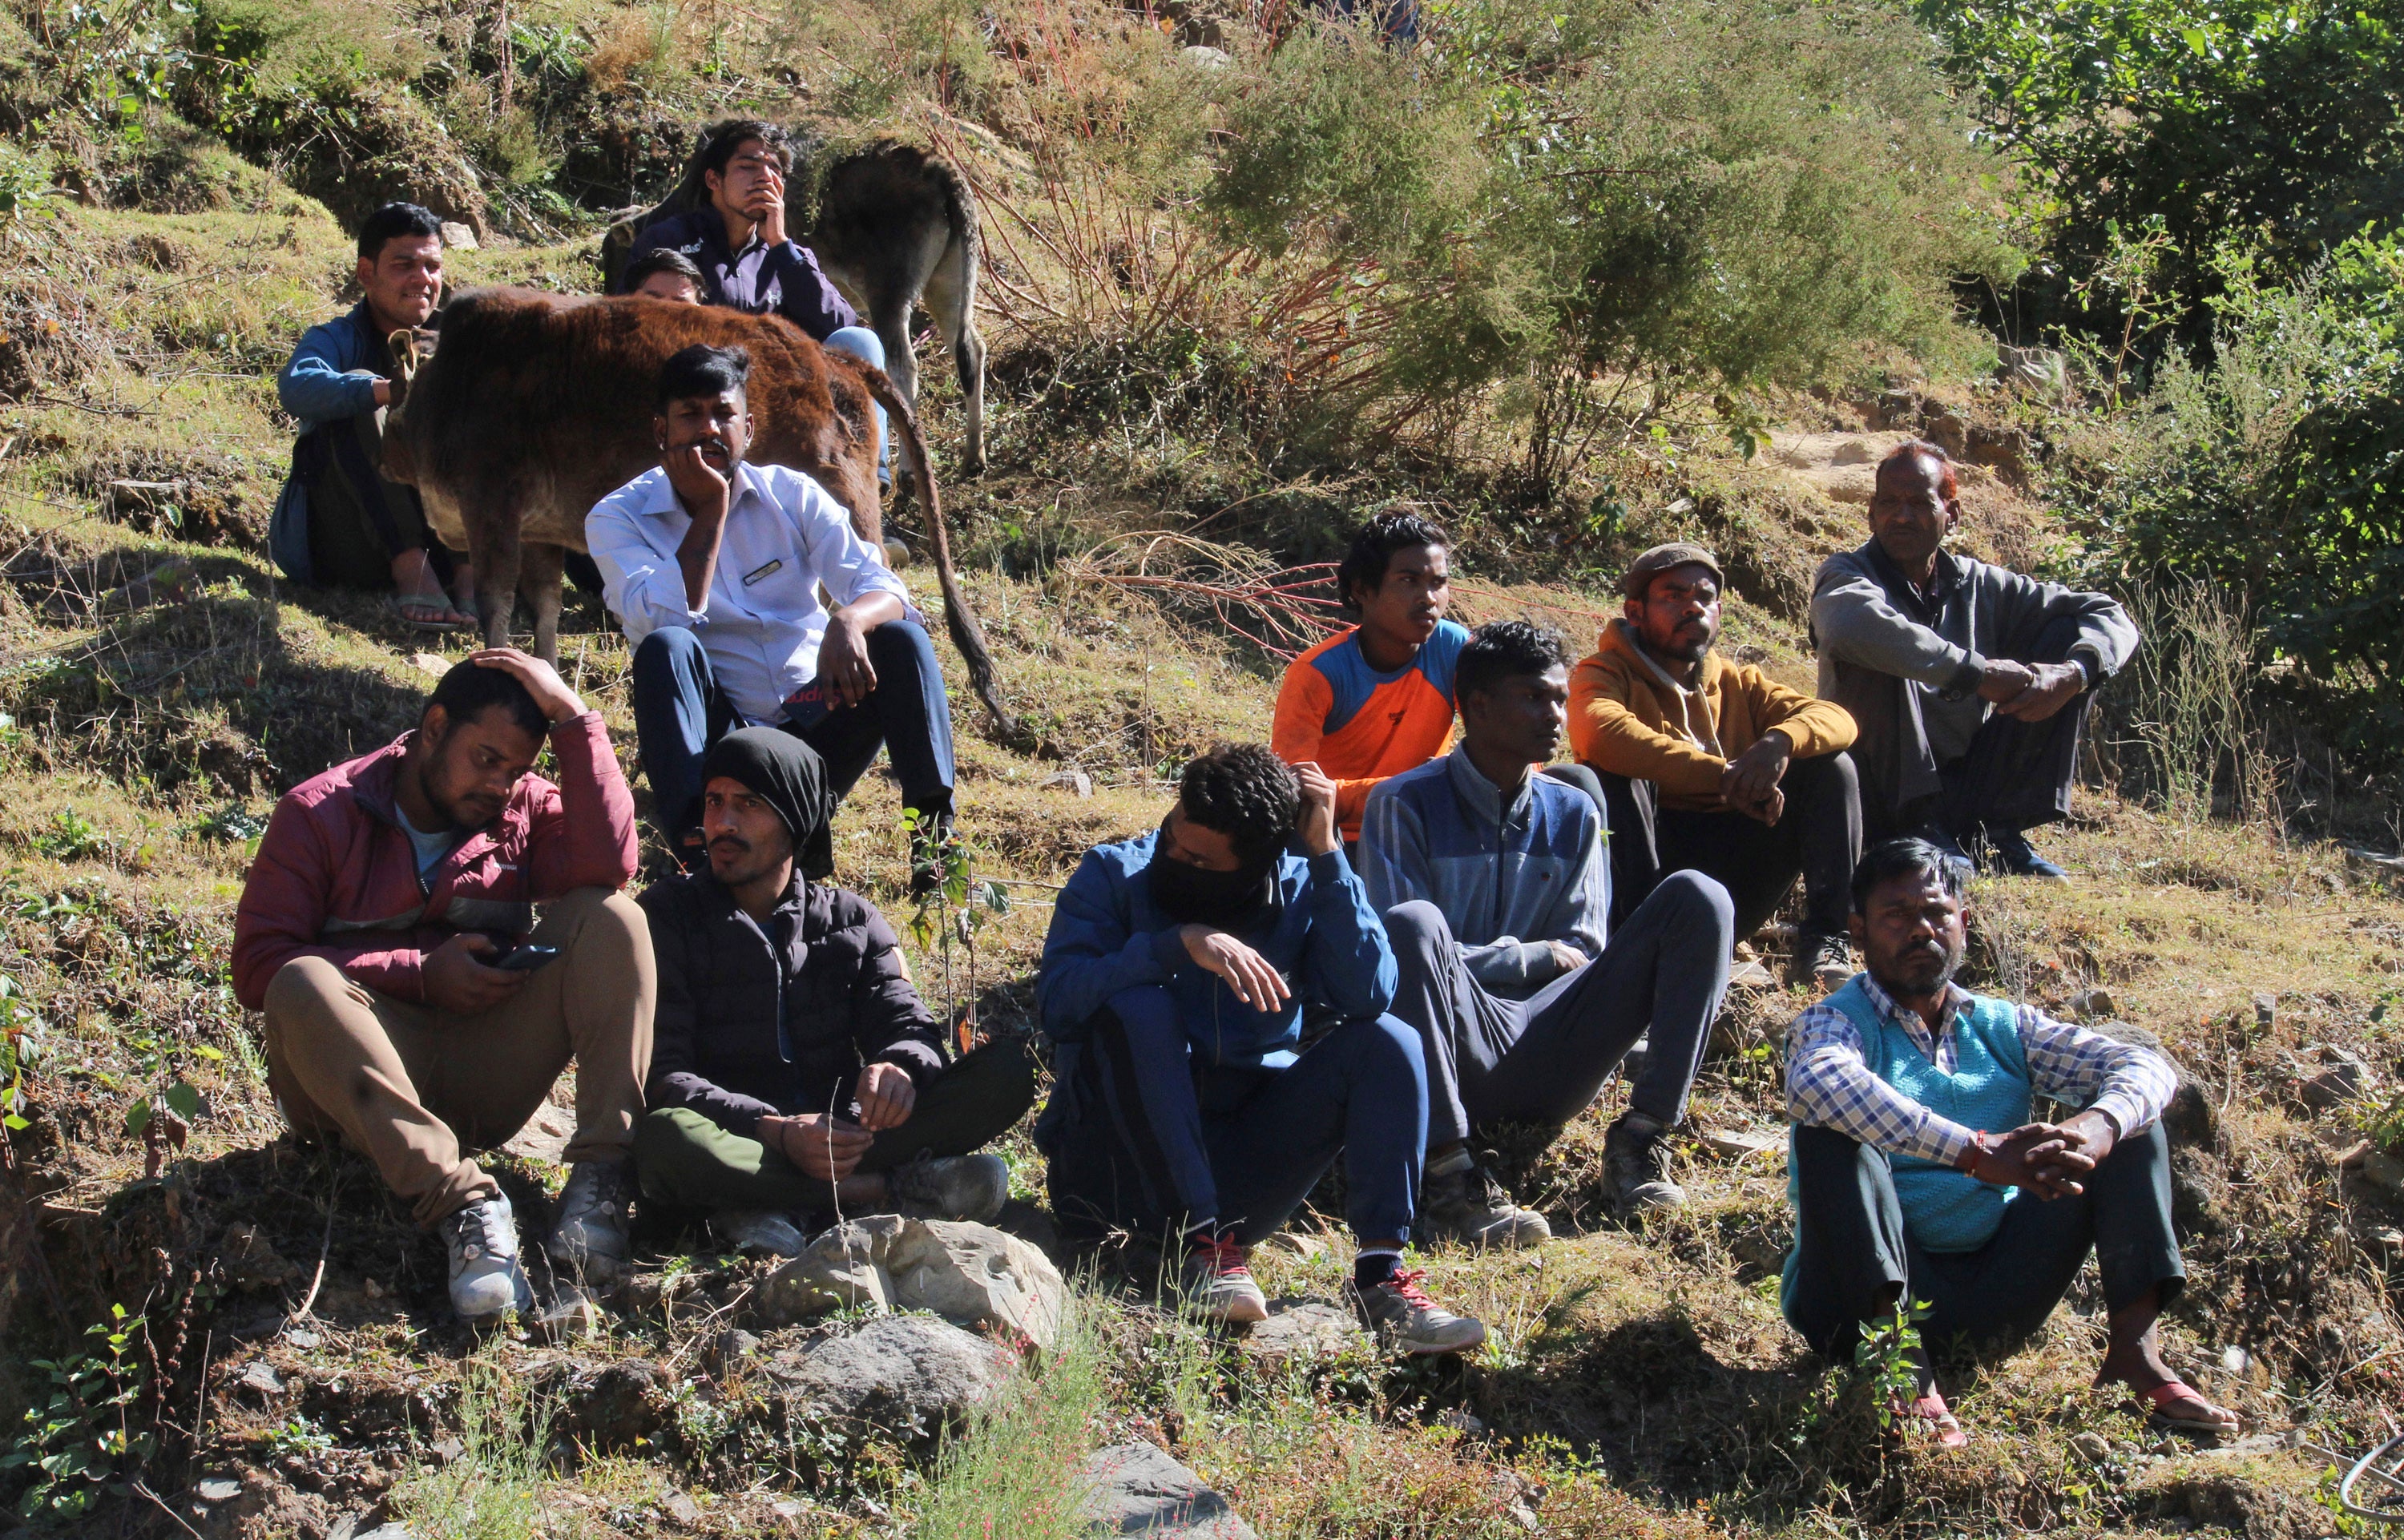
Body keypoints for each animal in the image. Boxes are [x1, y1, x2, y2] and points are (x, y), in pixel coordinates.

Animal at [373, 287, 1005, 730]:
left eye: (393, 390)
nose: (383, 457)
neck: (454, 384)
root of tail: (828, 358)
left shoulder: (491, 506)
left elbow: (496, 602)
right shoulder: (538, 531)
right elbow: (545, 607)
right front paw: (546, 678)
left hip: (850, 504)